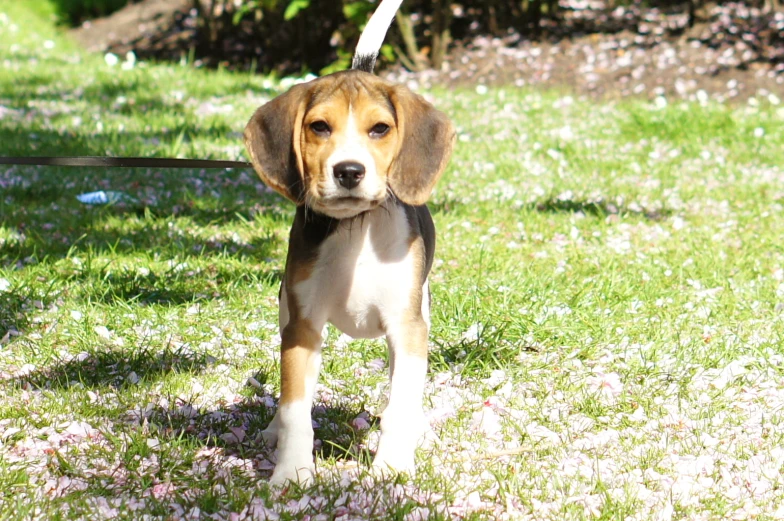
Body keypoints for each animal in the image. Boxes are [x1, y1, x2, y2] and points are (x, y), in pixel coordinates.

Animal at [242, 1, 456, 484]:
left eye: (379, 129)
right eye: (319, 127)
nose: (349, 171)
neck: (355, 229)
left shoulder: (407, 327)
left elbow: (399, 406)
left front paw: (391, 470)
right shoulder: (301, 328)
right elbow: (295, 408)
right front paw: (291, 474)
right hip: (287, 314)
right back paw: (271, 432)